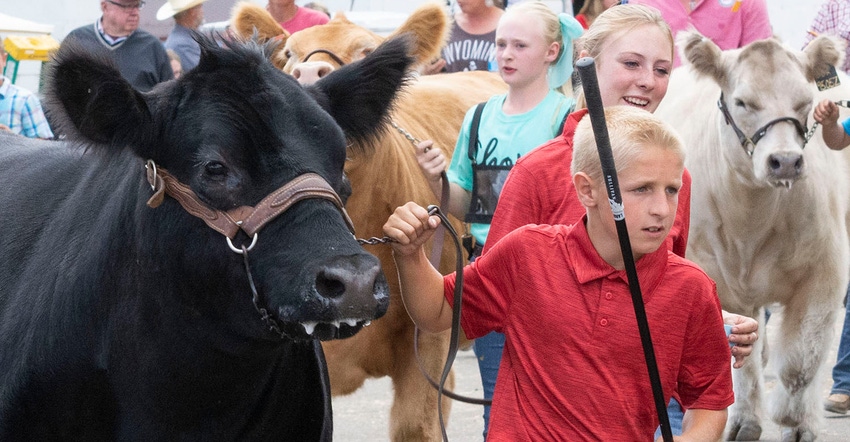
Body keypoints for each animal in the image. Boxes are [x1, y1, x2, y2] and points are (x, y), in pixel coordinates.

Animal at [656, 32, 848, 442]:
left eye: (805, 101)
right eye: (742, 101)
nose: (786, 161)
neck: (750, 221)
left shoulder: (825, 274)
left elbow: (801, 362)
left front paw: (793, 419)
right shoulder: (714, 278)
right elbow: (737, 355)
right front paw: (744, 421)